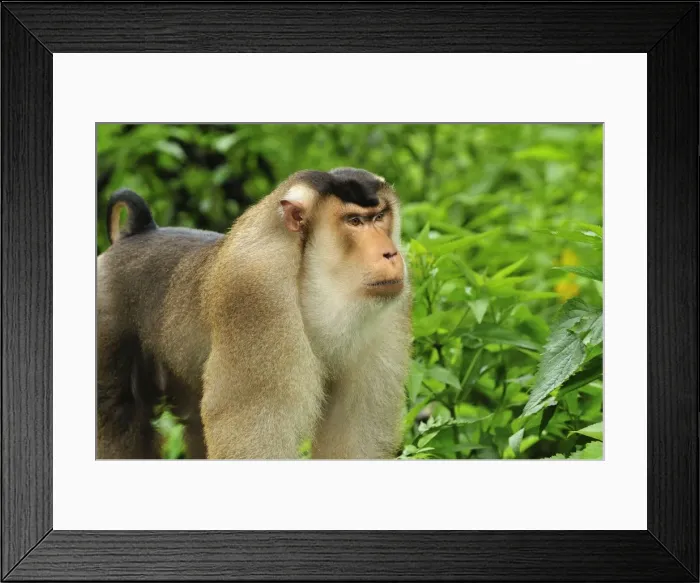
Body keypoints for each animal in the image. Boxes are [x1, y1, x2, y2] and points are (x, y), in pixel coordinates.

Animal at [97, 167, 412, 459]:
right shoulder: (257, 295)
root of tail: (138, 232)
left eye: (379, 216)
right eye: (355, 221)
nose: (391, 254)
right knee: (115, 413)